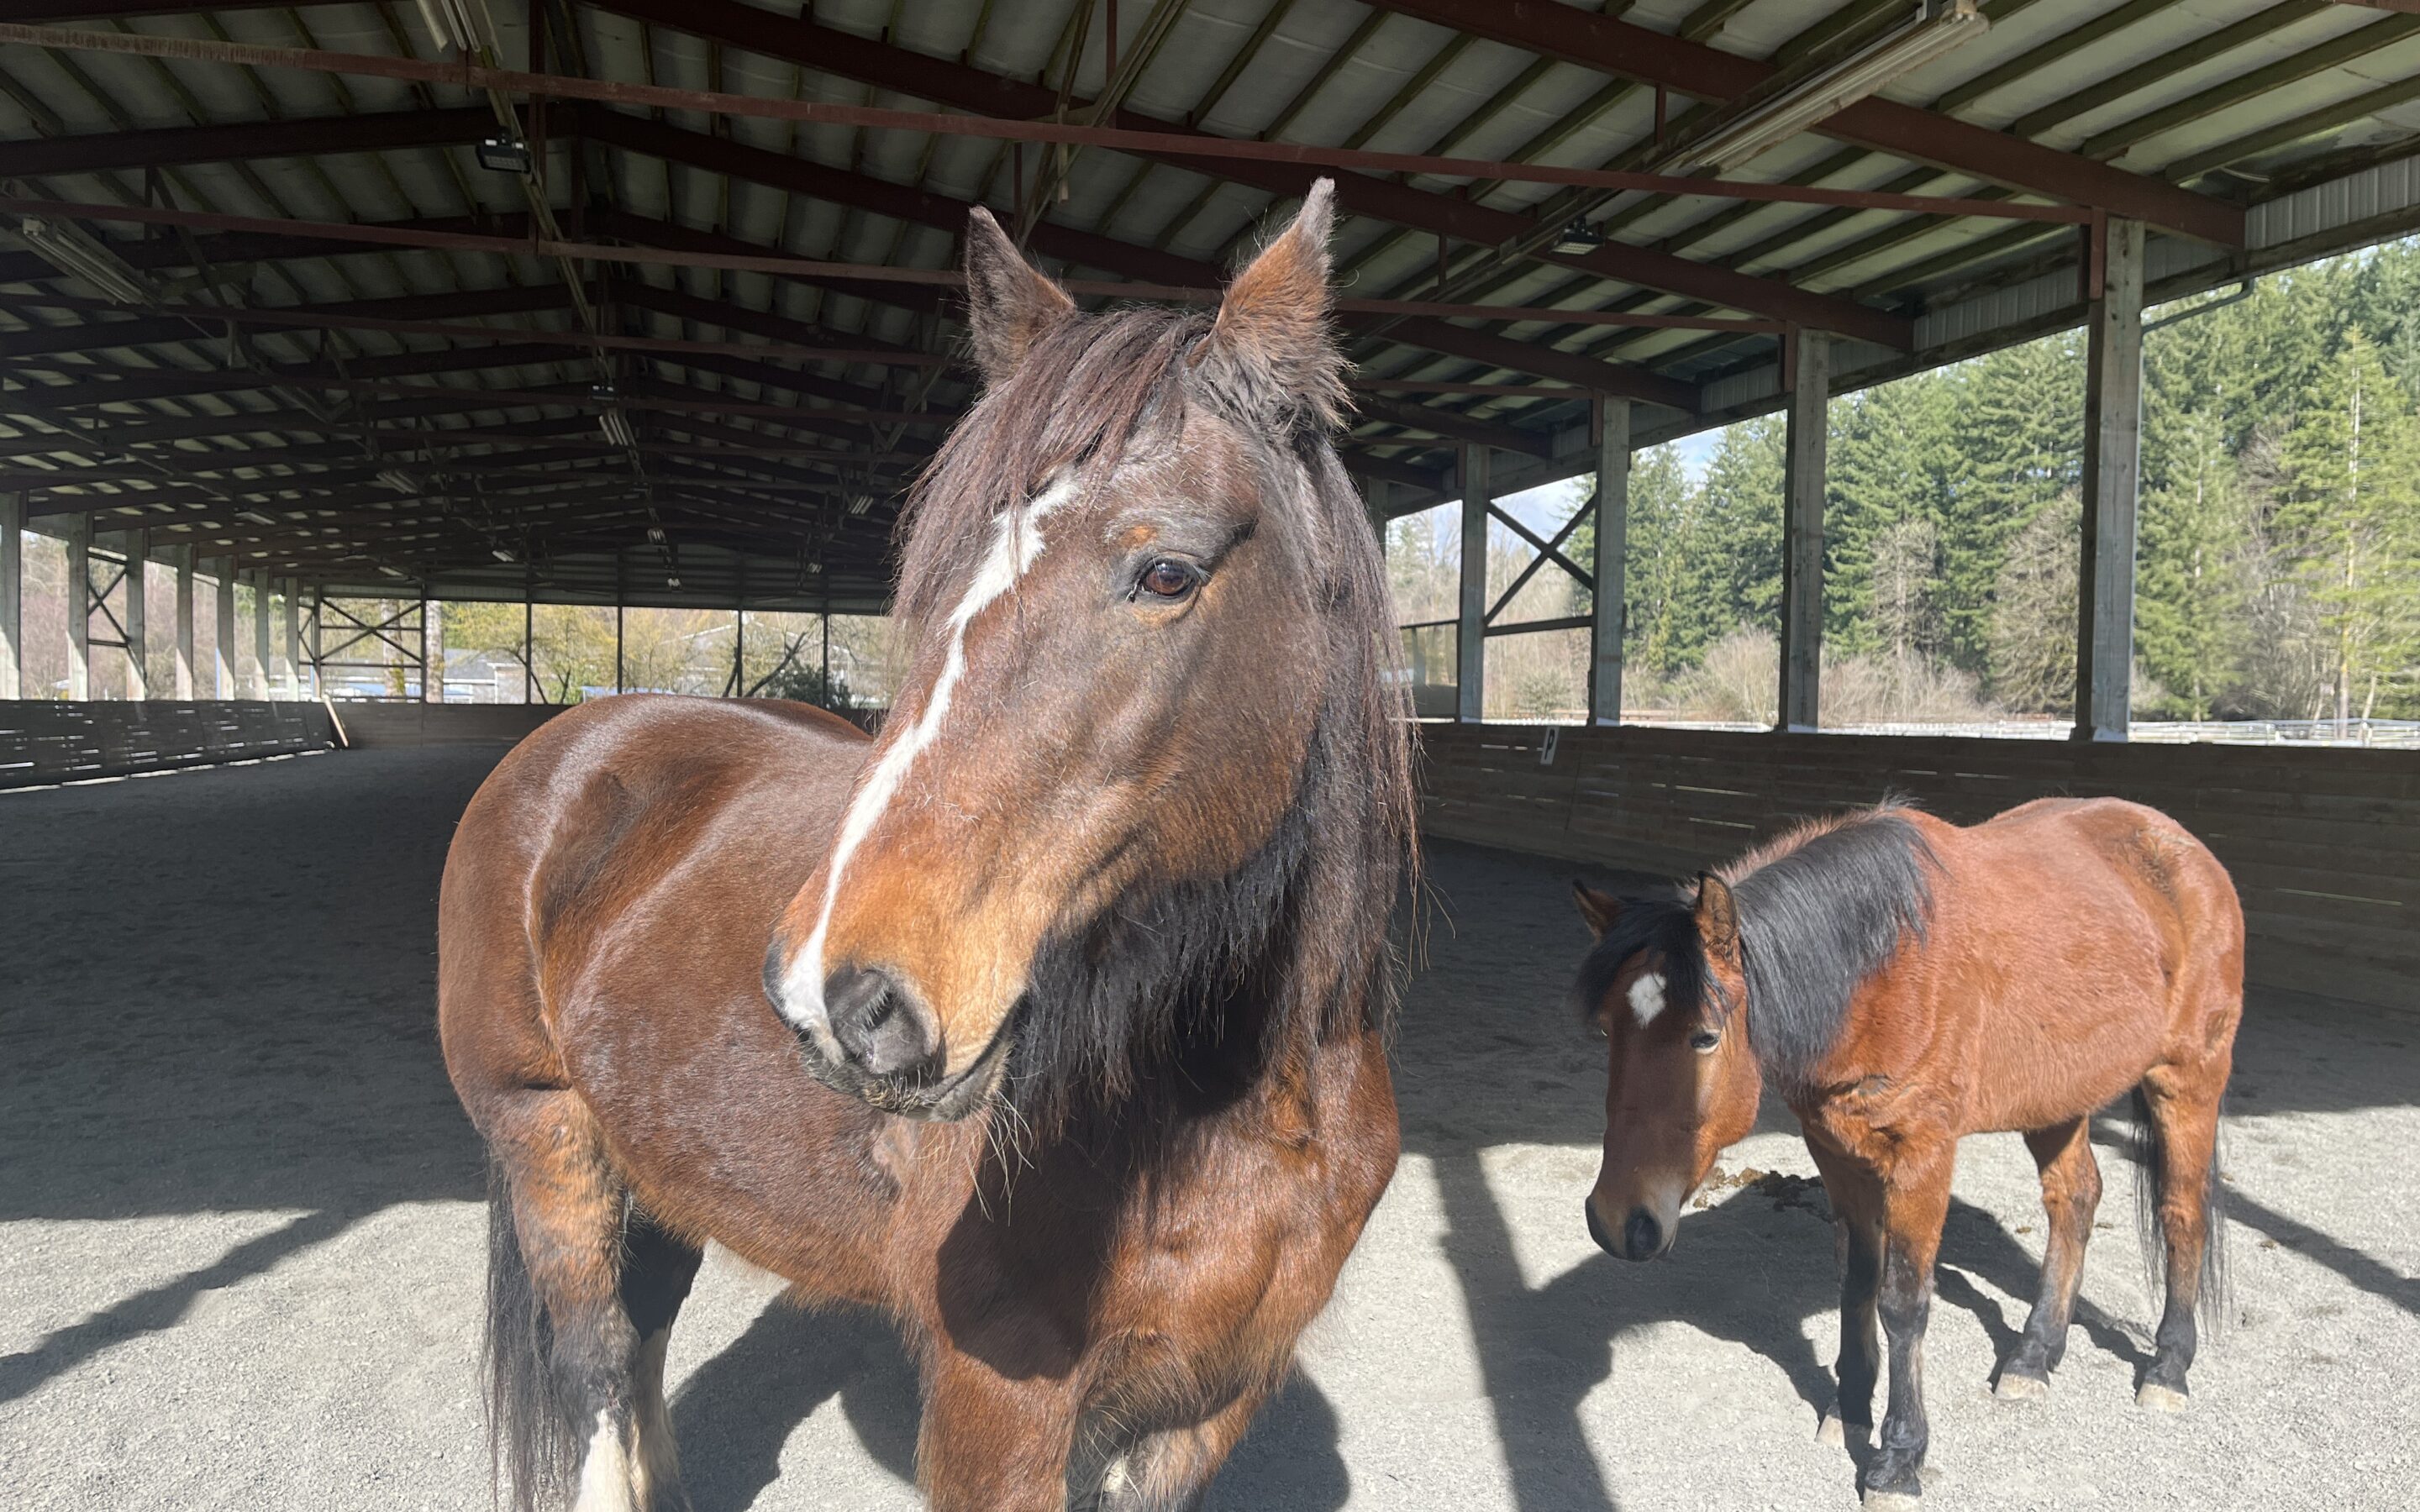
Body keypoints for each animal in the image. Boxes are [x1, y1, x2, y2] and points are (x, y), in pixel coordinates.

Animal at [445, 180, 1413, 1509]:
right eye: (938, 574)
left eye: (1167, 572)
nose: (835, 999)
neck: (1242, 1110)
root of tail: (579, 740)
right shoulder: (996, 1408)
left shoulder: (1205, 1409)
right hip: (549, 1139)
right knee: (597, 1358)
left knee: (642, 1342)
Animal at [1577, 798, 2236, 1499]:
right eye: (1607, 1030)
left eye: (1704, 1037)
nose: (1618, 1221)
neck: (1880, 968)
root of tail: (2180, 846)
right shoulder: (1835, 1150)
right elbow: (1857, 1281)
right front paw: (1850, 1407)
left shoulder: (1922, 1158)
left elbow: (1902, 1303)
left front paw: (1899, 1457)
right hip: (2057, 1098)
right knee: (2075, 1200)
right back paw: (2034, 1355)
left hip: (2188, 1083)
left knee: (2182, 1213)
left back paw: (2168, 1366)